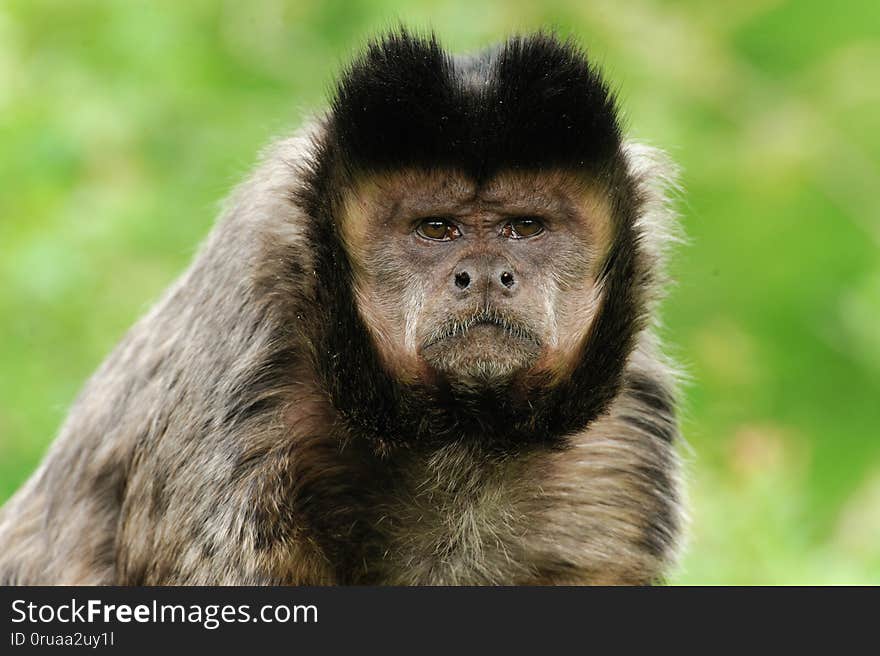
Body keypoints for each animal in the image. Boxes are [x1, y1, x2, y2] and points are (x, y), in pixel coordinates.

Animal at [0, 30, 684, 584]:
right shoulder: (249, 403)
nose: (486, 275)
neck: (461, 439)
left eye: (525, 227)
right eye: (436, 229)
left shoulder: (618, 445)